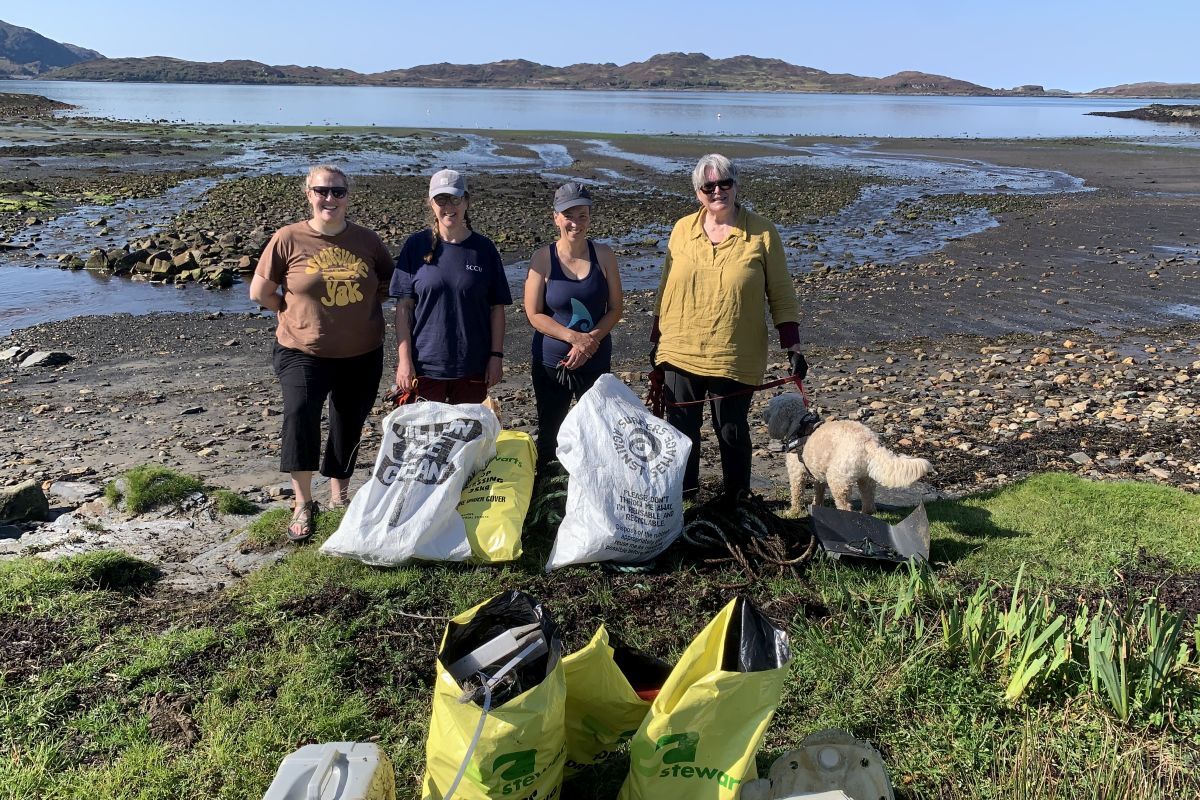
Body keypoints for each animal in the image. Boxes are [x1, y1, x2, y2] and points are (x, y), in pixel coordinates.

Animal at [763, 393, 931, 513]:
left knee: (845, 506)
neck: (799, 424)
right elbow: (818, 493)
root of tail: (868, 441)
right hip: (866, 479)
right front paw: (816, 506)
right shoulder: (817, 474)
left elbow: (796, 494)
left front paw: (793, 512)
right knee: (869, 504)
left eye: (770, 406)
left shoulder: (797, 472)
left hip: (838, 478)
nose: (762, 414)